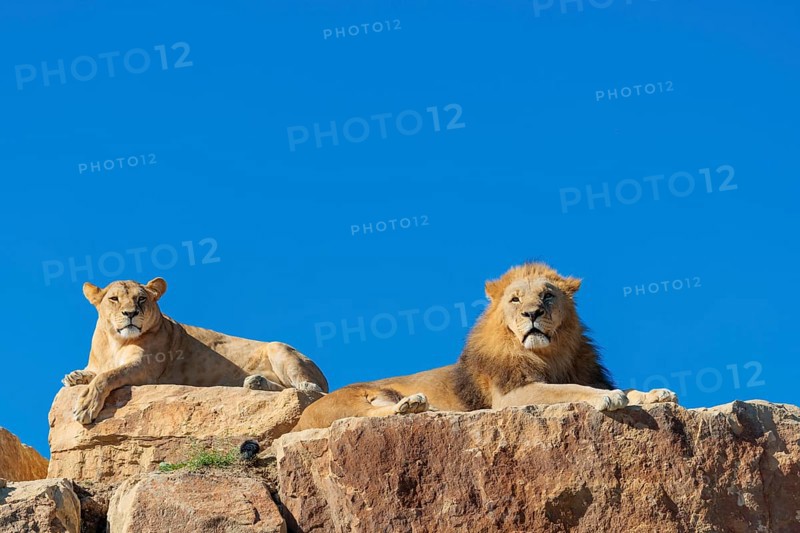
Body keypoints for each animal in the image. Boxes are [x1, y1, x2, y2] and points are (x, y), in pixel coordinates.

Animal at [63, 277, 328, 425]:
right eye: (114, 299)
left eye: (141, 299)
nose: (131, 313)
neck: (114, 341)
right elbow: (95, 372)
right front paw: (74, 377)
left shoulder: (146, 369)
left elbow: (107, 376)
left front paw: (85, 405)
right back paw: (255, 382)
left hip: (279, 348)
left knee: (310, 390)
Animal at [294, 262, 676, 430]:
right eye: (515, 299)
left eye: (547, 296)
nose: (532, 313)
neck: (549, 353)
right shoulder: (511, 395)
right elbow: (567, 389)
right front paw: (606, 398)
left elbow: (626, 388)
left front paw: (656, 393)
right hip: (354, 401)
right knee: (370, 414)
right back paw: (413, 405)